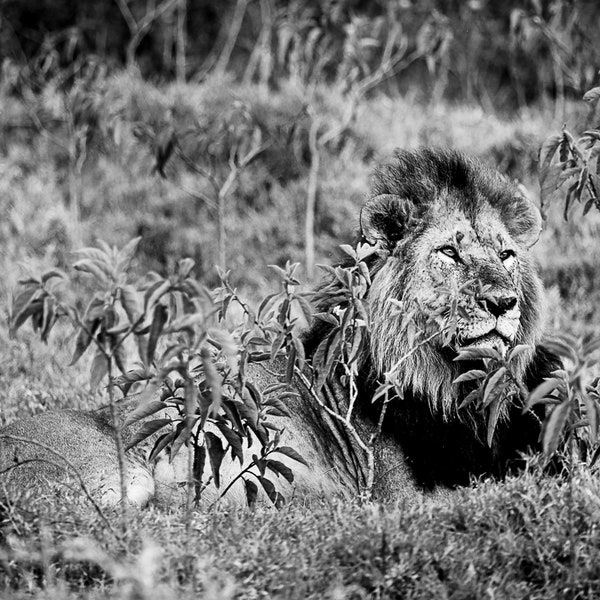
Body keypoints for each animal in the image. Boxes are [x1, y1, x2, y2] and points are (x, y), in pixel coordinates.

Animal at [0, 149, 556, 506]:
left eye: (506, 255)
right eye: (449, 253)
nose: (502, 302)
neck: (455, 390)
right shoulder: (395, 493)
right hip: (114, 476)